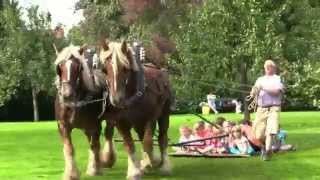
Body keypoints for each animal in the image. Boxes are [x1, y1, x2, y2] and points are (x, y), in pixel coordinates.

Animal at [53, 45, 106, 180]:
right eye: (59, 67)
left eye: (78, 67)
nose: (67, 94)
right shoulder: (63, 126)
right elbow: (69, 148)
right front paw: (71, 174)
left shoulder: (95, 125)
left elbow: (95, 145)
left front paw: (95, 169)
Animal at [100, 40, 174, 179]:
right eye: (104, 70)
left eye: (125, 69)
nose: (116, 100)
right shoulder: (120, 122)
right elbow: (129, 144)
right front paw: (134, 171)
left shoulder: (150, 118)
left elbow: (148, 142)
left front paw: (152, 162)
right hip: (138, 122)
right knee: (141, 136)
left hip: (164, 114)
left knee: (162, 137)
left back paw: (164, 165)